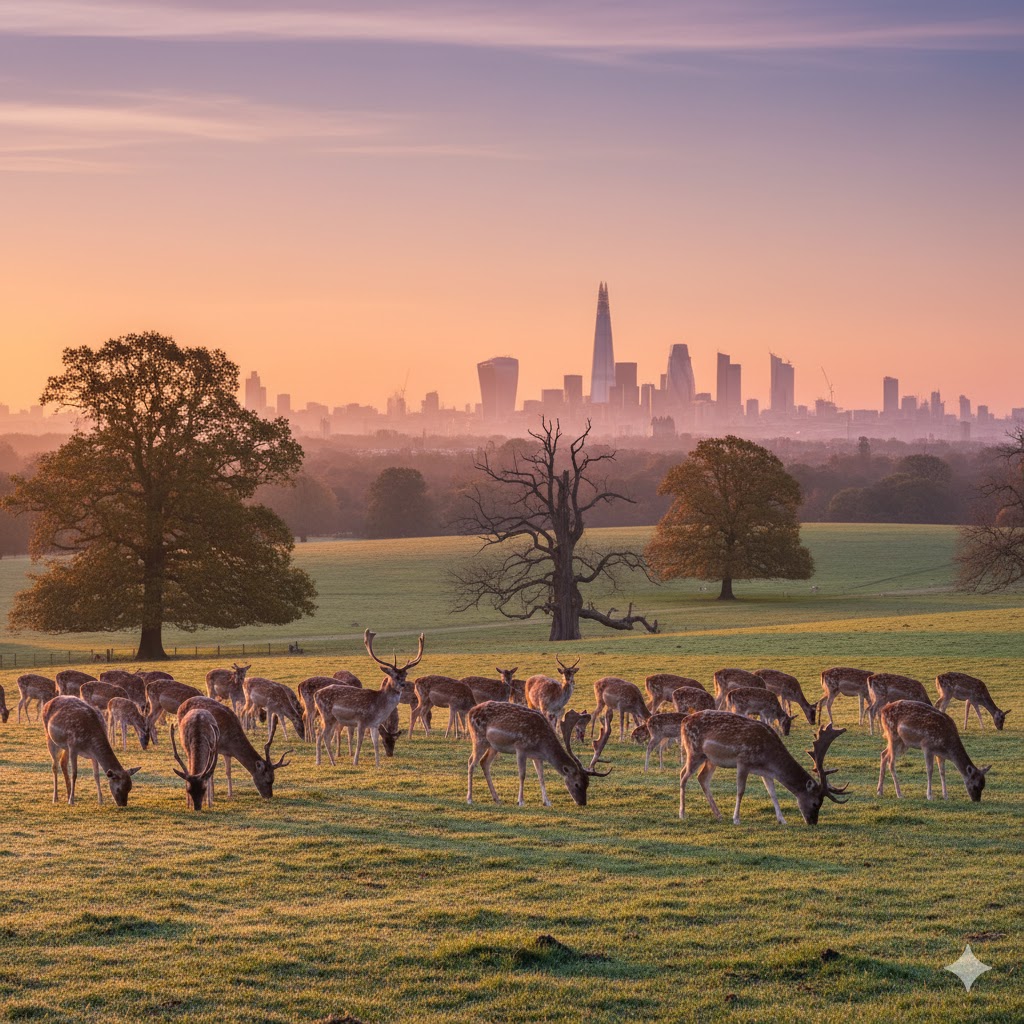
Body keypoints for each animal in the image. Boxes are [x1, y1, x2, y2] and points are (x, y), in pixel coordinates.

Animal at [467, 704, 611, 807]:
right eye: (577, 784)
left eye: (588, 784)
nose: (582, 803)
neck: (541, 744)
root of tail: (470, 712)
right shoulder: (521, 748)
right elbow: (522, 775)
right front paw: (521, 801)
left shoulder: (537, 756)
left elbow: (541, 776)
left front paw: (547, 801)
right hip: (478, 738)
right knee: (471, 762)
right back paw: (469, 799)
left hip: (493, 746)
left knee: (484, 763)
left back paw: (497, 798)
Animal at [679, 711, 848, 825]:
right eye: (815, 803)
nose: (812, 822)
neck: (768, 757)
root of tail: (683, 721)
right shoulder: (743, 761)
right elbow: (740, 791)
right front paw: (736, 819)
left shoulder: (765, 772)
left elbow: (772, 793)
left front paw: (782, 820)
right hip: (694, 751)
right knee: (683, 775)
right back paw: (682, 813)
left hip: (710, 759)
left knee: (702, 778)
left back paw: (718, 814)